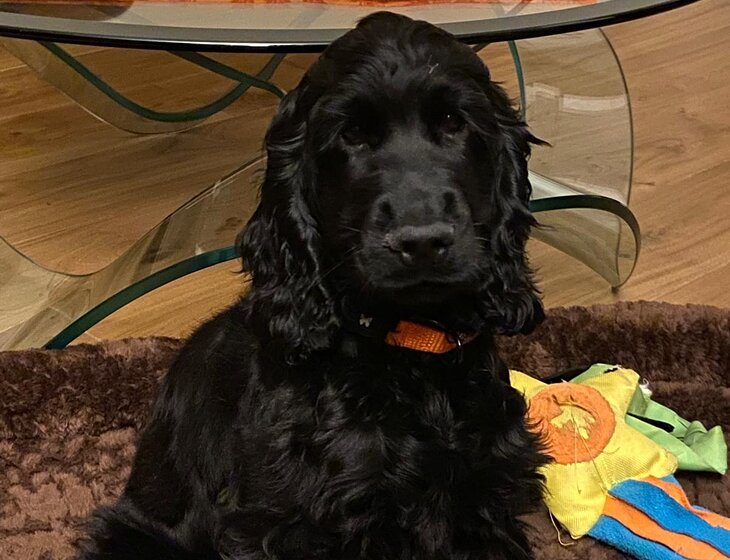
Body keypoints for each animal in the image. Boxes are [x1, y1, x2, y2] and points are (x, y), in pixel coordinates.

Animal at [78, 12, 548, 560]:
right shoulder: (292, 524)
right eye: (352, 135)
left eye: (455, 122)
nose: (423, 241)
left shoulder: (485, 501)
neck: (409, 350)